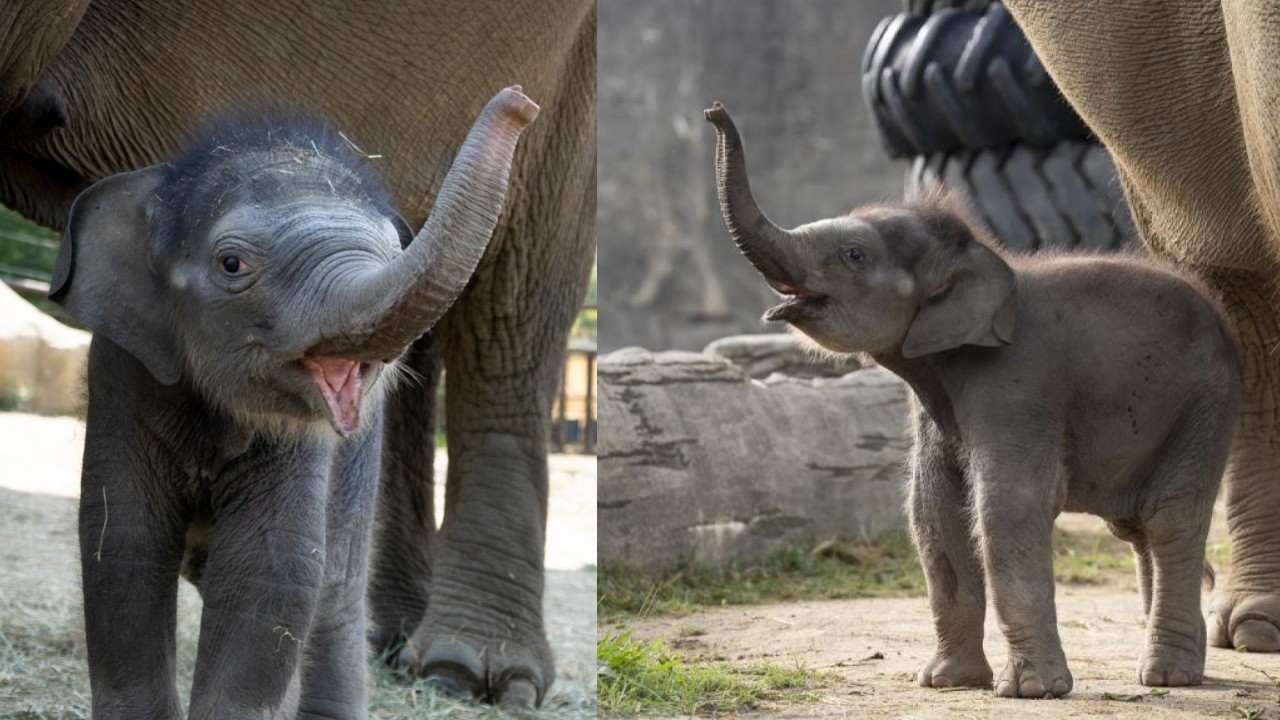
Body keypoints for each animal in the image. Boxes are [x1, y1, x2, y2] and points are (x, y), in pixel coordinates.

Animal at [0, 0, 594, 704]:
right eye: (232, 264)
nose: (519, 100)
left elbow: (272, 566)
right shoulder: (125, 372)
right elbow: (122, 549)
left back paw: (460, 674)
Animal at [704, 103, 1242, 696]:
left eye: (853, 254)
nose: (713, 111)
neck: (981, 254)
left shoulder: (1018, 385)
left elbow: (1008, 505)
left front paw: (1030, 691)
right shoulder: (936, 404)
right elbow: (933, 510)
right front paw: (946, 683)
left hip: (1205, 405)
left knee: (1170, 518)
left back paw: (1168, 677)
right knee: (1136, 528)